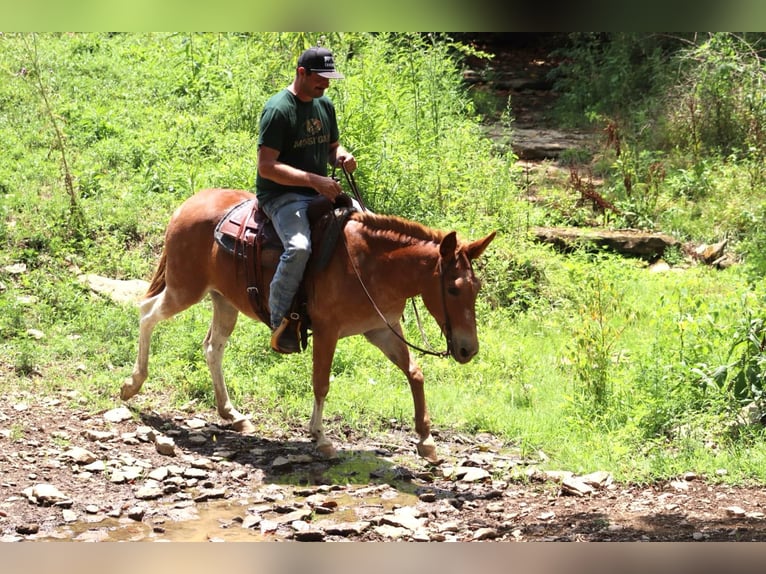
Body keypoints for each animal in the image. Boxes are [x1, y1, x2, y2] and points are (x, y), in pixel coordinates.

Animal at [120, 188, 496, 463]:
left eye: (476, 288)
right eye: (452, 289)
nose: (468, 349)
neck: (371, 264)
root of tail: (188, 204)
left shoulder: (380, 328)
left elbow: (415, 373)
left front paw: (426, 439)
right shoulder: (328, 331)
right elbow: (321, 383)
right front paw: (320, 437)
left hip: (223, 300)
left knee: (213, 348)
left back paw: (232, 413)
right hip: (185, 289)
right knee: (147, 313)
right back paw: (132, 384)